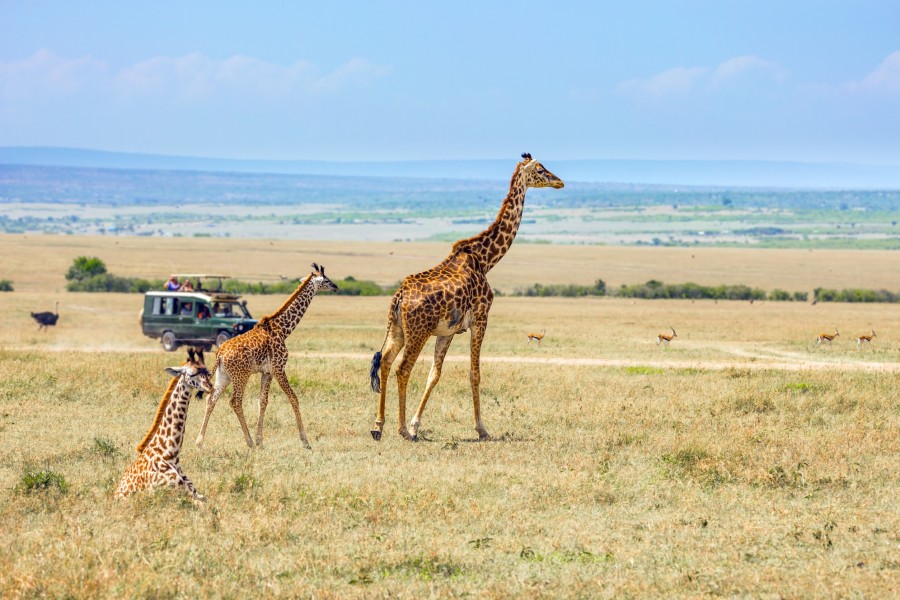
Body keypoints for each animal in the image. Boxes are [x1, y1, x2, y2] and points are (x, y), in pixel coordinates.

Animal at [116, 346, 213, 502]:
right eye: (192, 374)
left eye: (209, 372)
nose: (210, 387)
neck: (170, 454)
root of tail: (115, 494)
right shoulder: (176, 495)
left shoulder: (195, 493)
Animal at [196, 264, 338, 450]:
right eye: (326, 280)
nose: (336, 287)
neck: (283, 330)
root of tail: (219, 353)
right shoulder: (279, 368)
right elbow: (294, 398)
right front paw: (305, 441)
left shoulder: (267, 372)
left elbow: (262, 402)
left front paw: (260, 441)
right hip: (241, 376)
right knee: (235, 401)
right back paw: (248, 442)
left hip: (224, 375)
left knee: (211, 399)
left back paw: (200, 442)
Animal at [368, 152, 564, 440]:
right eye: (540, 169)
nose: (559, 181)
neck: (485, 259)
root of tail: (400, 296)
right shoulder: (481, 320)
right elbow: (475, 373)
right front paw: (481, 428)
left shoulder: (447, 331)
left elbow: (435, 374)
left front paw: (417, 423)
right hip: (417, 332)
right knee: (403, 368)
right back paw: (401, 429)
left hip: (396, 329)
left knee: (385, 361)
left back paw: (379, 425)